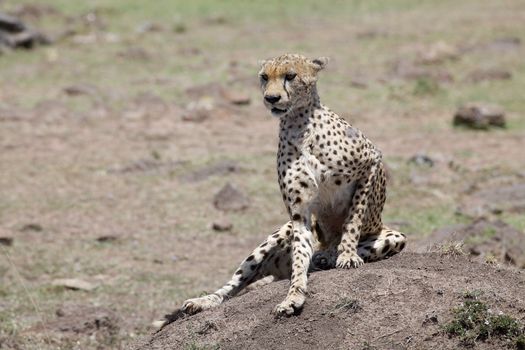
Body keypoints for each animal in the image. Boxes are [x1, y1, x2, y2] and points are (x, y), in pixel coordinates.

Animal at [176, 53, 406, 318]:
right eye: (264, 77)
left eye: (290, 76)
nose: (271, 98)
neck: (299, 124)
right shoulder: (299, 214)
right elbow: (300, 256)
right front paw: (294, 296)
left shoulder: (371, 162)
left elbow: (353, 218)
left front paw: (347, 254)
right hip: (276, 237)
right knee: (235, 283)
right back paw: (204, 300)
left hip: (395, 236)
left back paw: (329, 255)